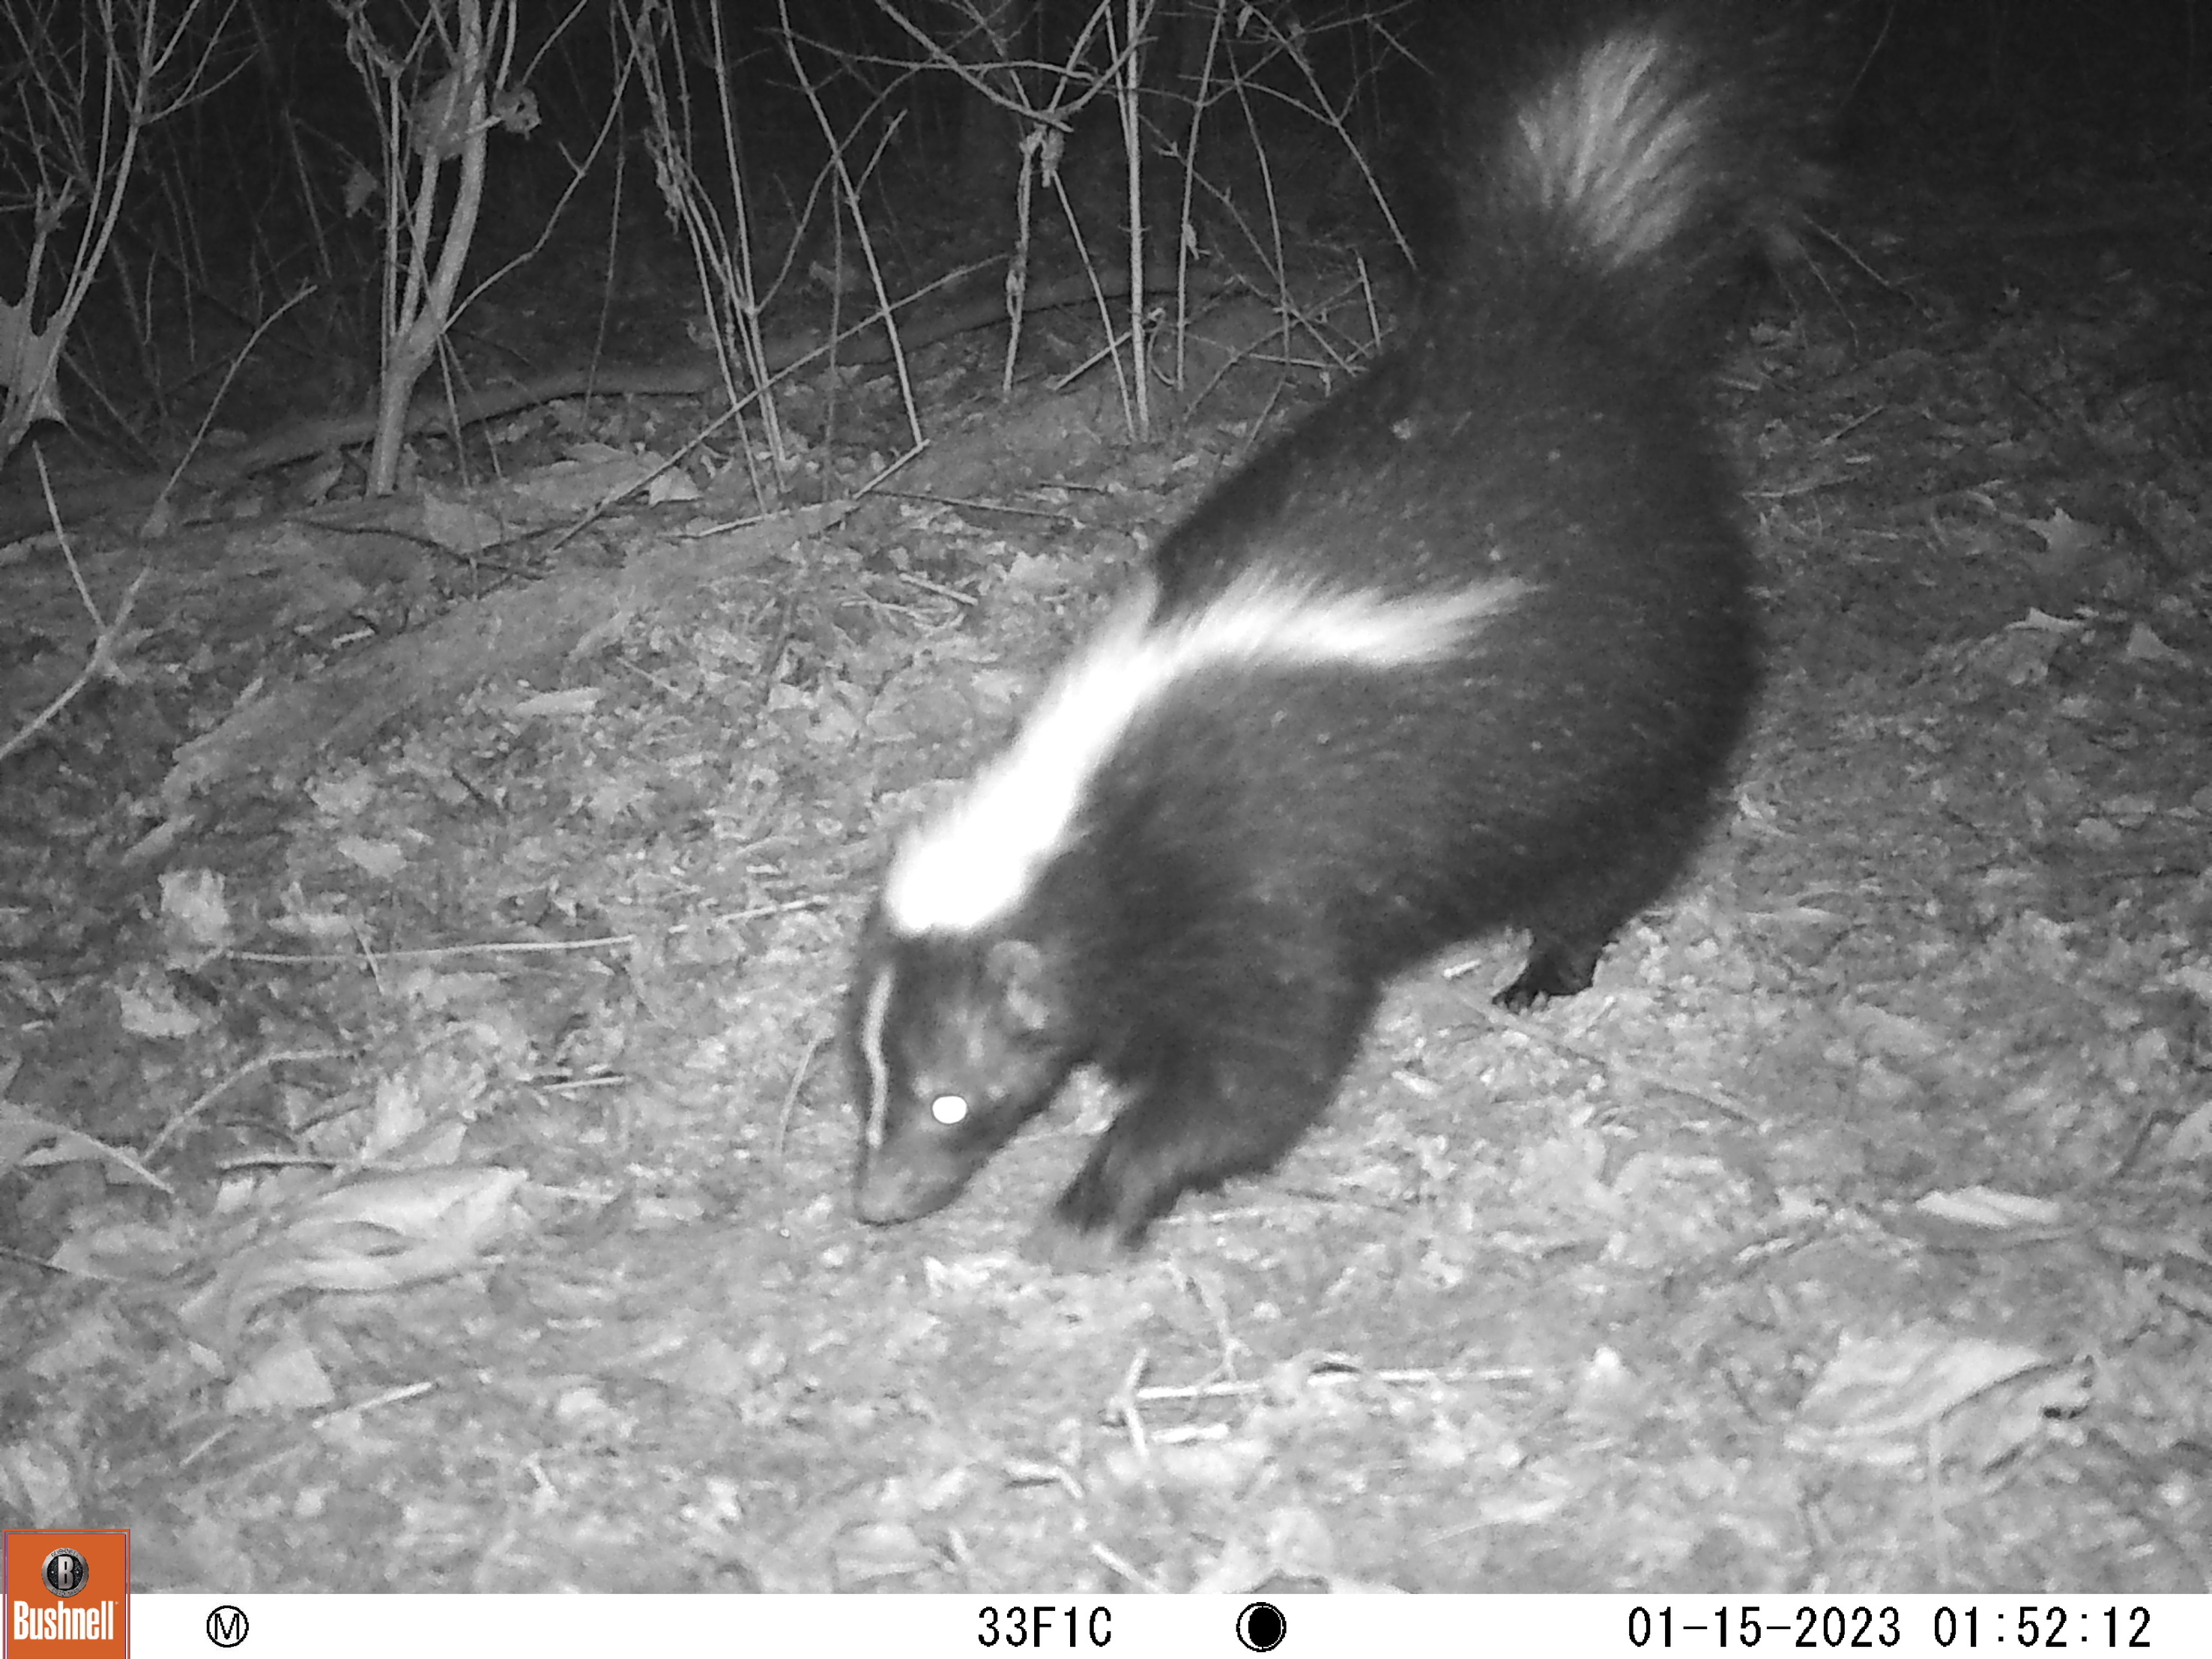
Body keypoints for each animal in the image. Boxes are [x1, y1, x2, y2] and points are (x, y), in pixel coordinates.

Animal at [844, 3, 1813, 1274]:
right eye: (866, 1082)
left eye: (953, 1096)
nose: (878, 1198)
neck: (1086, 807)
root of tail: (1564, 320)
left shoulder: (1268, 880)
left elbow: (1262, 1069)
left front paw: (1094, 1204)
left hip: (1639, 687)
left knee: (1627, 846)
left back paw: (1546, 969)